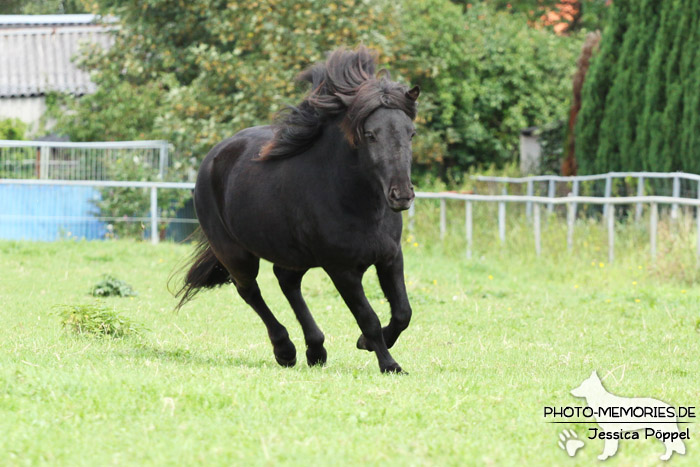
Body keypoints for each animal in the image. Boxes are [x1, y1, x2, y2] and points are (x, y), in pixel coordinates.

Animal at [178, 47, 422, 374]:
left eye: (411, 133)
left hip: (294, 253)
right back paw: (285, 350)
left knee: (286, 281)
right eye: (370, 135)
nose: (401, 195)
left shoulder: (390, 257)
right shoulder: (341, 269)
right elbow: (368, 317)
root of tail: (212, 158)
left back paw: (315, 349)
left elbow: (403, 312)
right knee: (250, 291)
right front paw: (388, 363)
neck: (356, 202)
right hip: (235, 252)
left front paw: (368, 344)